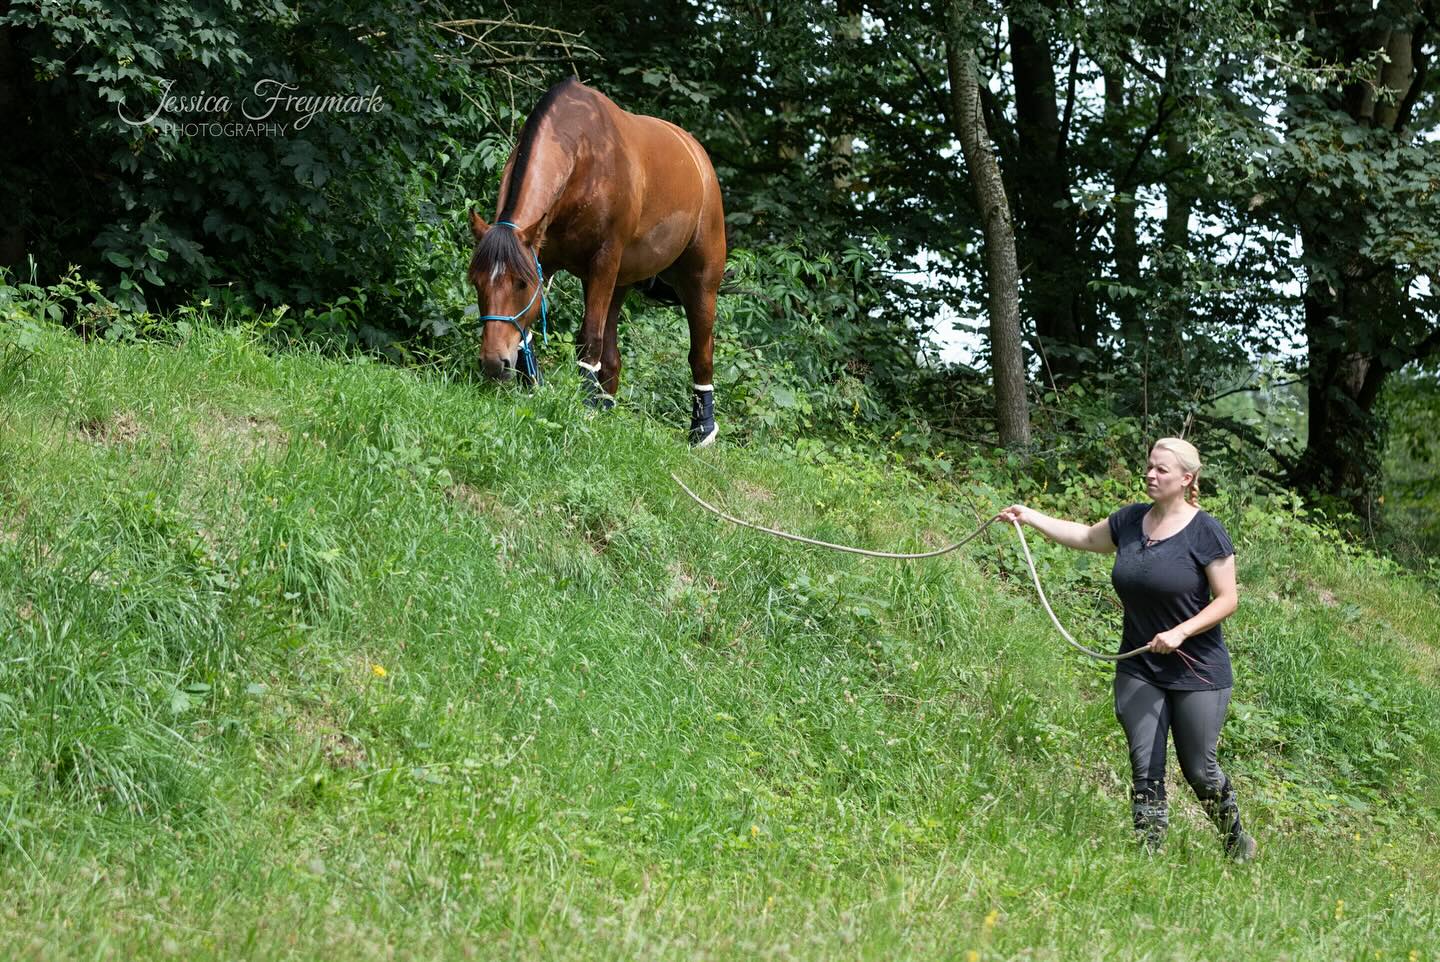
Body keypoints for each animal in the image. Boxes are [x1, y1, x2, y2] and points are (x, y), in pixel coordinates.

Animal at [467, 78, 727, 447]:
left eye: (520, 283)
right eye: (476, 282)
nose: (493, 362)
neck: (584, 156)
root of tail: (697, 156)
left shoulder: (602, 261)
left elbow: (589, 336)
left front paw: (585, 407)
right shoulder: (543, 256)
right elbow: (529, 332)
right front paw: (534, 387)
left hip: (700, 280)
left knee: (702, 351)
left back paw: (702, 429)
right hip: (620, 281)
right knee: (613, 356)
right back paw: (607, 408)